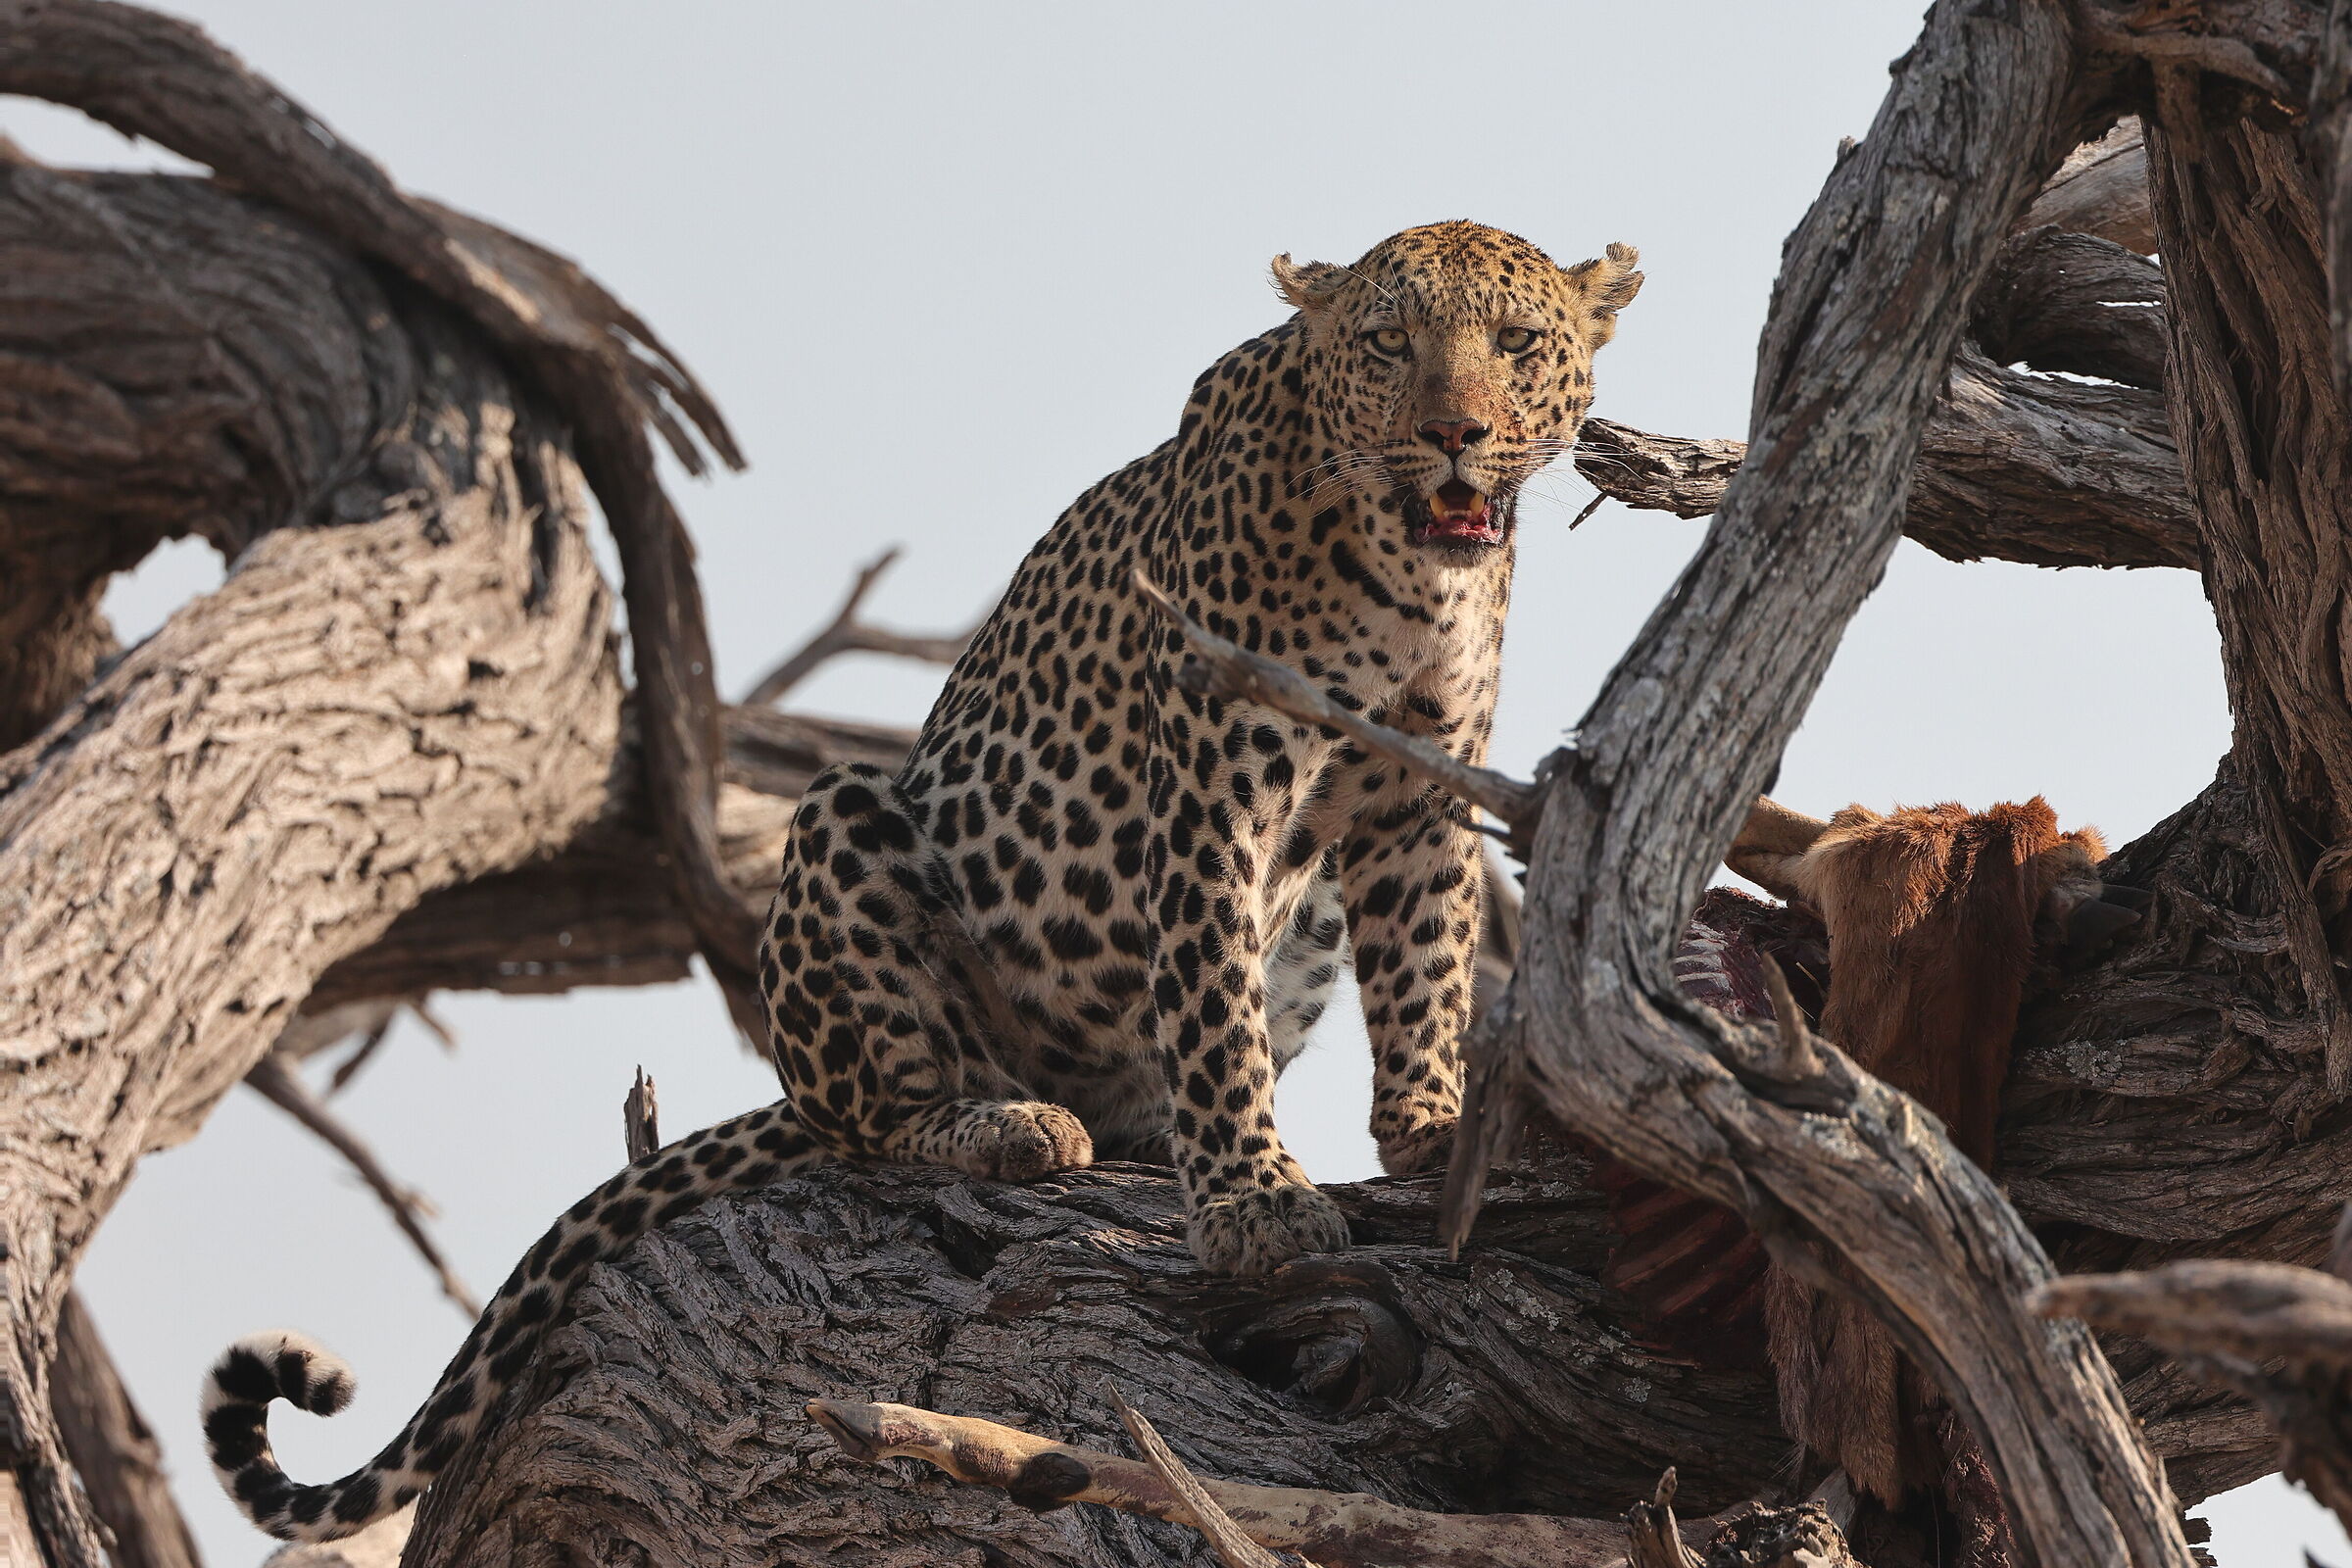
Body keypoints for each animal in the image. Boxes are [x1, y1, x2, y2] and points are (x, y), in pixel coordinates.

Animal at [200, 219, 1642, 1541]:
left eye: (1520, 343)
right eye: (1389, 343)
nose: (1455, 434)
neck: (1406, 574)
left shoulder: (1417, 792)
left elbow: (1429, 960)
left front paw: (1434, 1130)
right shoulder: (1211, 782)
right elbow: (1209, 1001)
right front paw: (1252, 1207)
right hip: (847, 829)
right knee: (879, 1114)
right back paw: (1008, 1124)